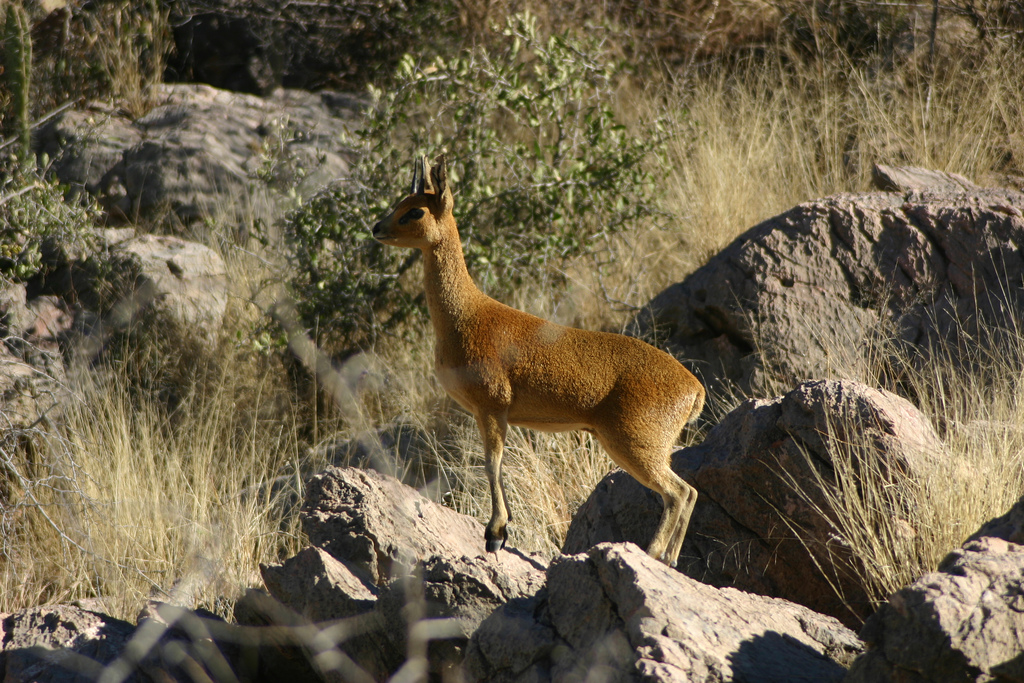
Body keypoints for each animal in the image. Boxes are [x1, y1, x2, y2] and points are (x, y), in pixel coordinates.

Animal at [372, 154, 708, 565]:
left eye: (415, 210)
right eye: (400, 201)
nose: (377, 228)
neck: (465, 316)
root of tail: (694, 389)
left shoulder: (493, 407)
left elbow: (492, 463)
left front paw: (495, 533)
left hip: (635, 444)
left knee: (679, 492)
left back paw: (652, 552)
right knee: (688, 493)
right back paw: (668, 559)